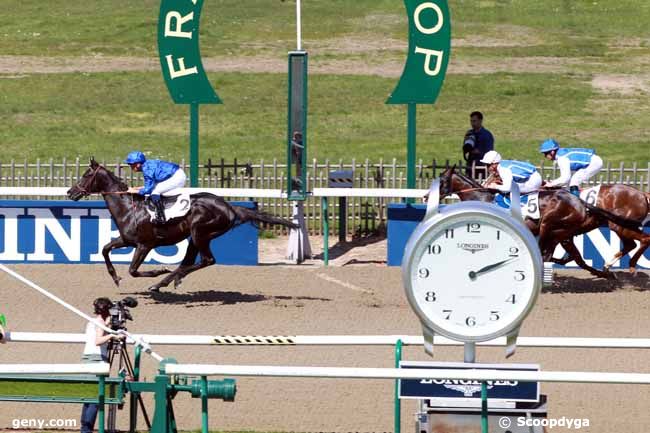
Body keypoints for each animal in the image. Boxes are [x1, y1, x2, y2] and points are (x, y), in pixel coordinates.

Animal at [67, 159, 296, 290]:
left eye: (87, 175)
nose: (70, 192)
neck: (129, 207)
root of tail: (230, 207)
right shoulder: (126, 240)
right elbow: (105, 249)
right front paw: (115, 278)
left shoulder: (145, 244)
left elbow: (133, 270)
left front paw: (158, 271)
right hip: (195, 237)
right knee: (190, 262)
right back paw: (168, 281)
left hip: (200, 232)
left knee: (207, 260)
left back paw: (163, 280)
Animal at [436, 167, 636, 278]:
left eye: (443, 180)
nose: (429, 194)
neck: (481, 198)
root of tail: (579, 202)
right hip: (561, 232)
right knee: (569, 256)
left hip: (549, 225)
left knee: (546, 252)